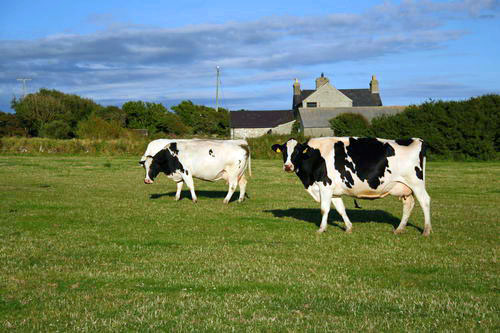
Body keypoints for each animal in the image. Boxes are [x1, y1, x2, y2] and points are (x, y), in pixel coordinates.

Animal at [272, 136, 432, 235]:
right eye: (284, 151)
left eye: (297, 151)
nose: (288, 166)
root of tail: (417, 140)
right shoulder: (334, 190)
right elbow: (341, 209)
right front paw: (348, 227)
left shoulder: (325, 186)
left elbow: (324, 209)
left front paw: (321, 229)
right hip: (405, 188)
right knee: (409, 204)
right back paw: (399, 229)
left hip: (416, 183)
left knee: (424, 201)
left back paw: (426, 230)